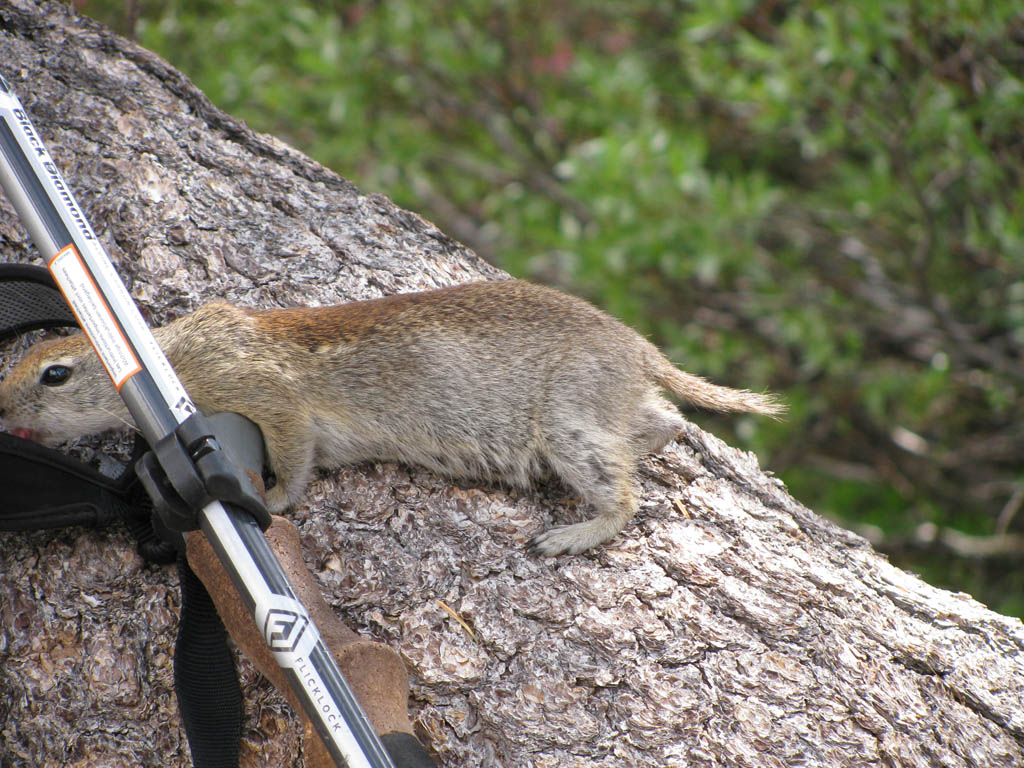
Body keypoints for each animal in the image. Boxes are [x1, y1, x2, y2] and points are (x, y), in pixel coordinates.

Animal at [0, 280, 782, 557]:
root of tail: (643, 352)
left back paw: (568, 536)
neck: (174, 358)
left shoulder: (269, 396)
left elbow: (294, 454)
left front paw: (273, 496)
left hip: (569, 426)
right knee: (666, 424)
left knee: (624, 494)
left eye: (54, 372)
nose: (3, 410)